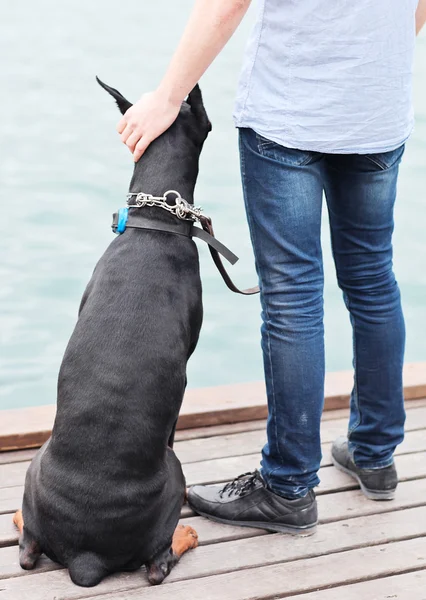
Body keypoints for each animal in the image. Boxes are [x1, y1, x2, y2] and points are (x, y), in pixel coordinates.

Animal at [14, 78, 211, 584]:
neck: (154, 223)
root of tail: (87, 556)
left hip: (36, 466)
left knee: (27, 551)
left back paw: (21, 519)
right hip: (173, 473)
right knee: (157, 564)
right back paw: (185, 534)